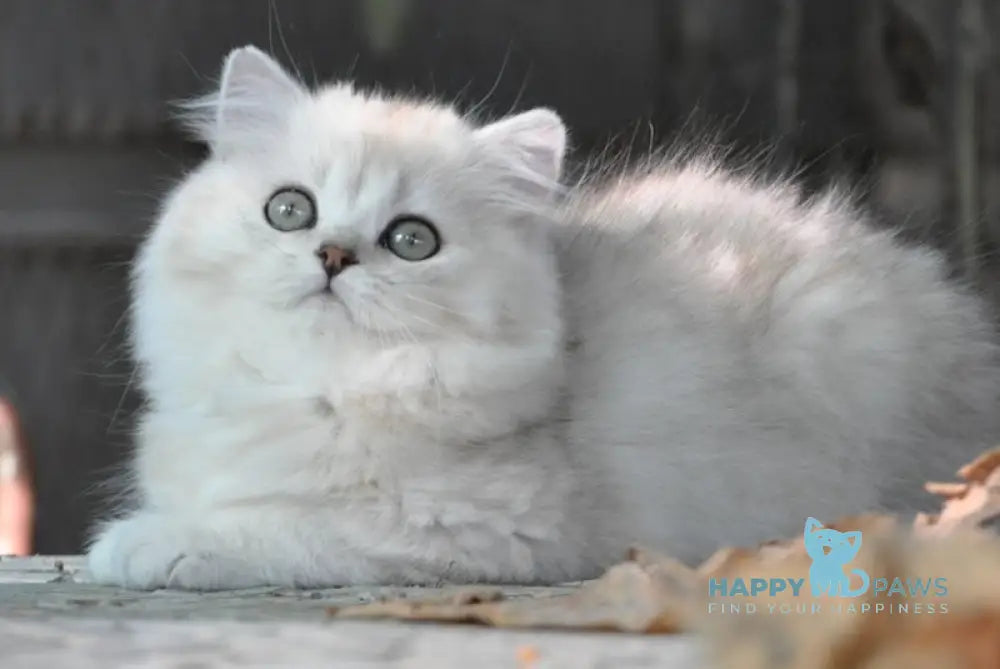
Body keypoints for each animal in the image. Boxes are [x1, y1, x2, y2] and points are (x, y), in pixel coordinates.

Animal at [88, 48, 1000, 588]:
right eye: (290, 210)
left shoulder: (484, 527)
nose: (336, 256)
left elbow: (286, 523)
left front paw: (147, 542)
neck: (311, 392)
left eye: (411, 240)